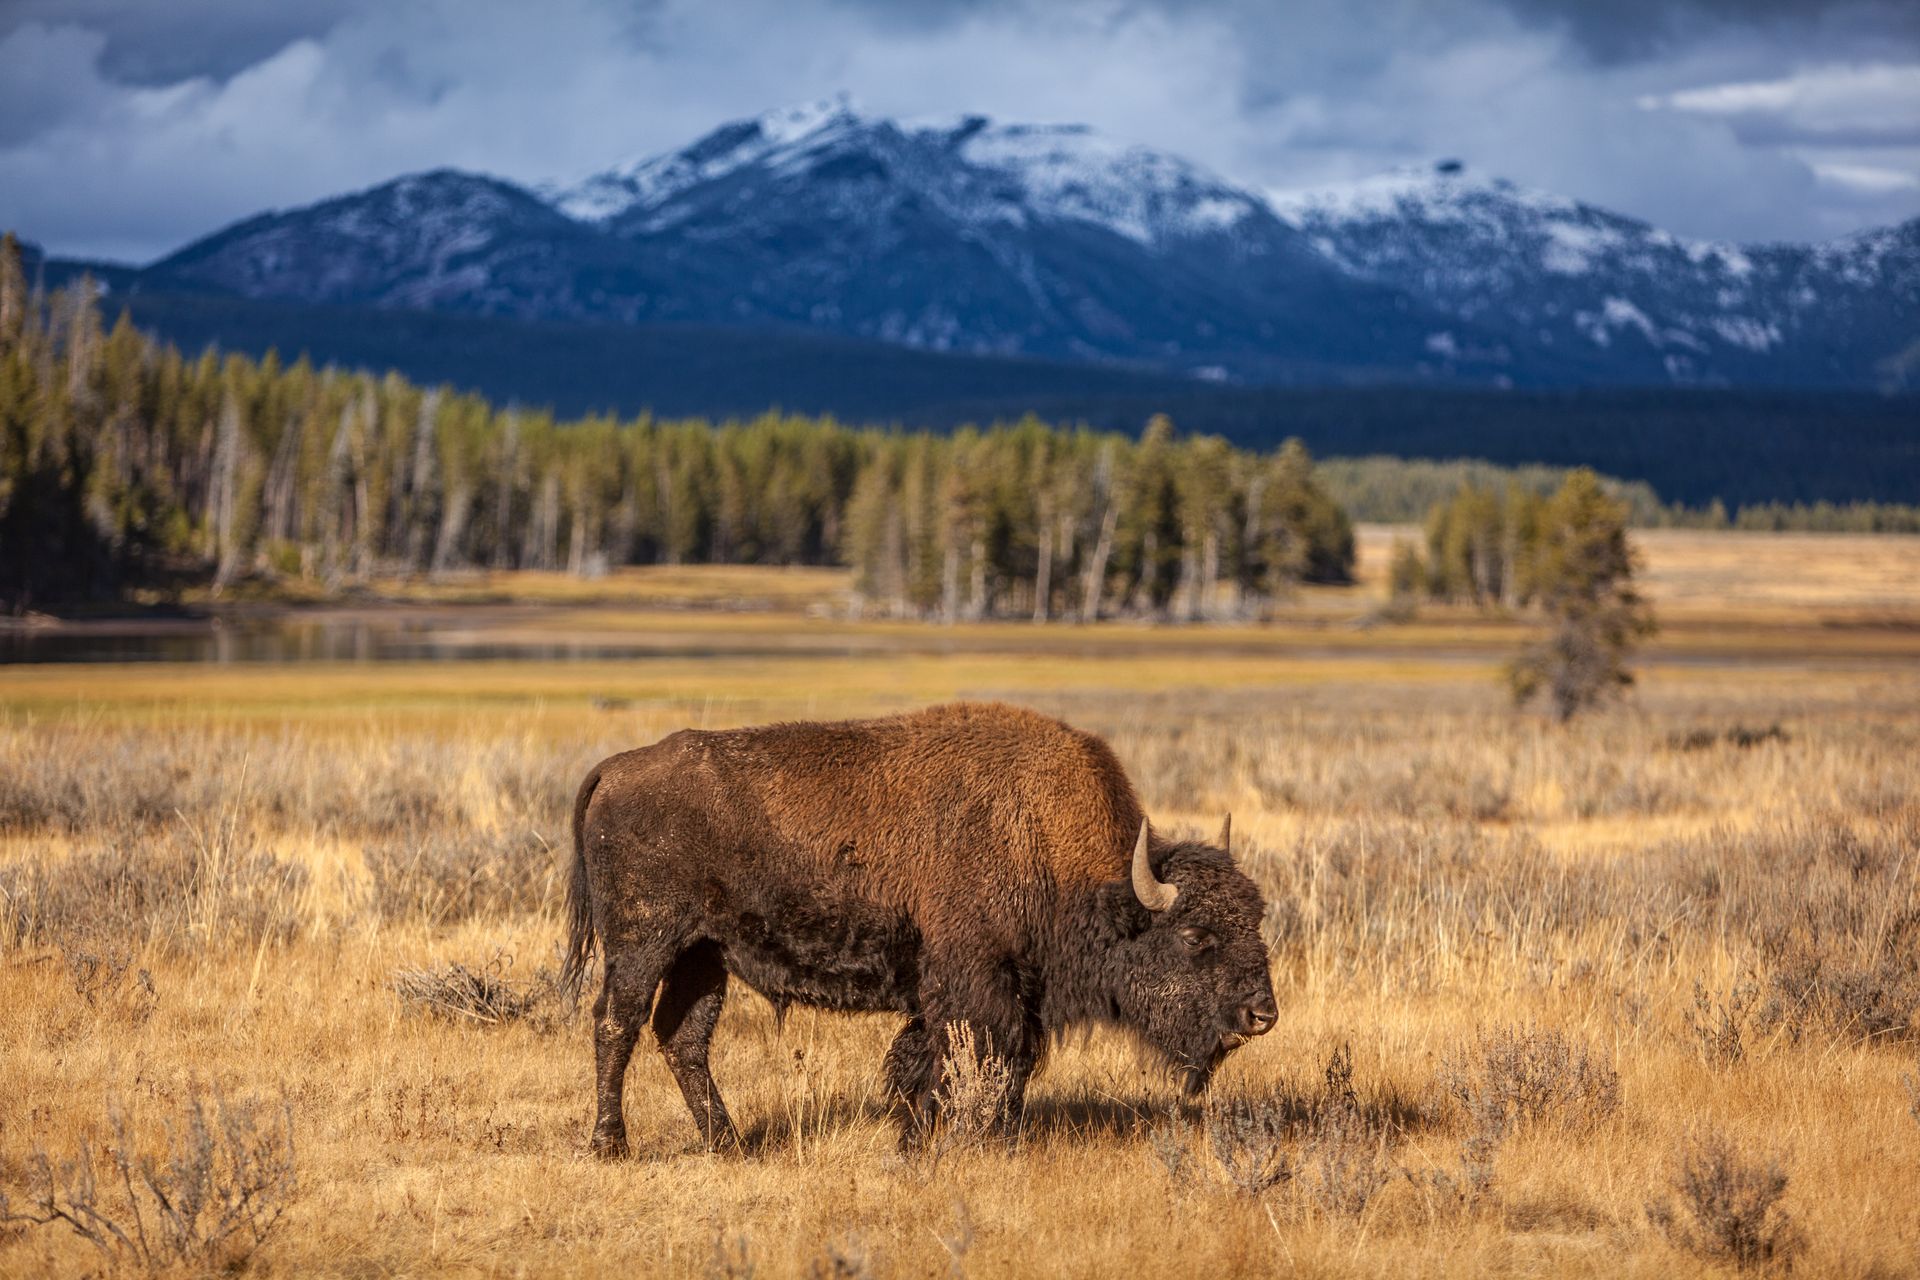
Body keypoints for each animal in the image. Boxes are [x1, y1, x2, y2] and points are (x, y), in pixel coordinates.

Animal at [562, 700, 1277, 1156]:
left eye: (1257, 920)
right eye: (1195, 937)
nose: (1262, 1014)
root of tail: (616, 768)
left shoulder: (1006, 994)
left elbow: (955, 1061)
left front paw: (928, 1135)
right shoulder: (977, 986)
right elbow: (973, 1059)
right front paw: (966, 1139)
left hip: (704, 954)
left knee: (682, 1036)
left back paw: (729, 1143)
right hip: (644, 943)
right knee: (617, 1022)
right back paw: (611, 1145)